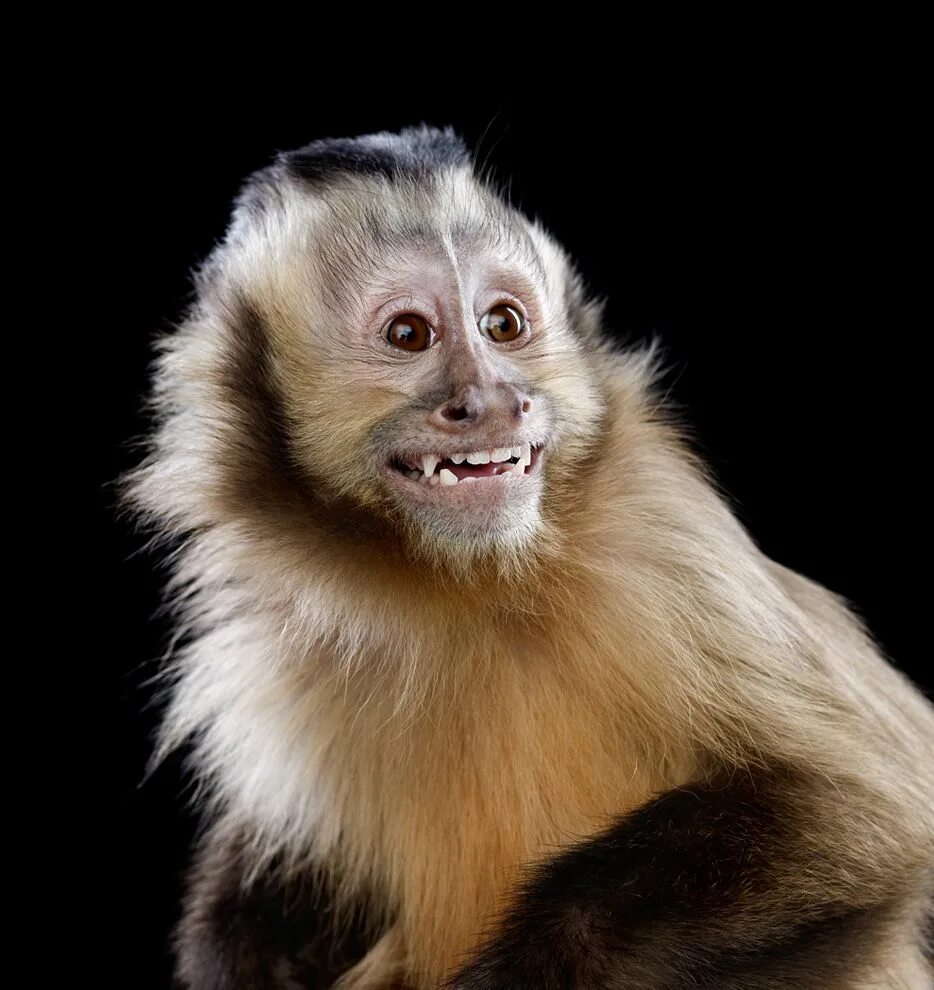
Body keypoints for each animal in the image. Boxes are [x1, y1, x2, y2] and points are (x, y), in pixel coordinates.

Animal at [127, 126, 934, 988]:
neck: (462, 584)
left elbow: (870, 811)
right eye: (409, 334)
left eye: (504, 325)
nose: (496, 401)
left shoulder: (662, 540)